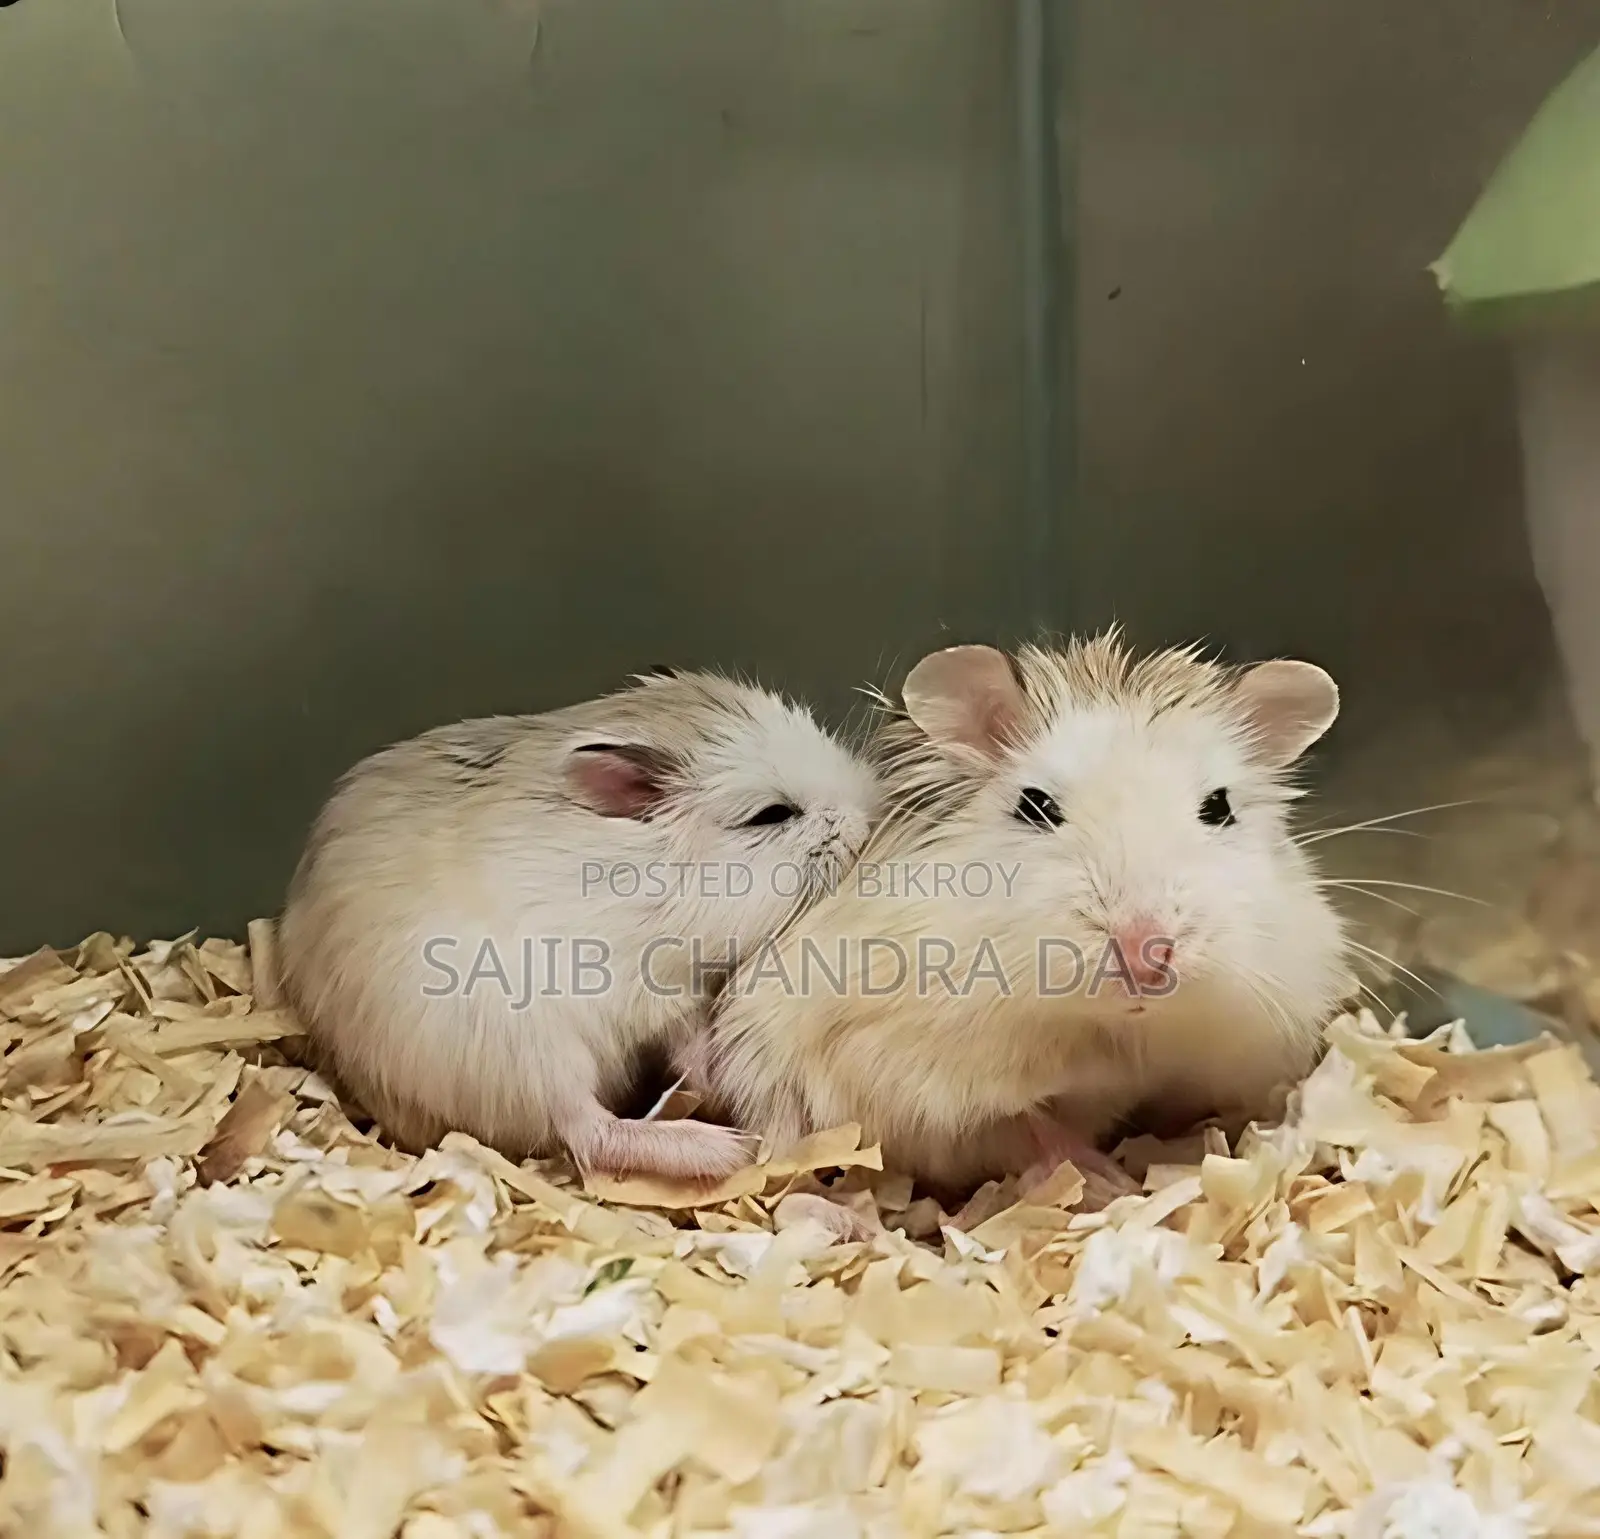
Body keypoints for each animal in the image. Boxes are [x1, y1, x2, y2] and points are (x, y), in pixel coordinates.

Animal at [277, 667, 881, 1180]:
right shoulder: (651, 988)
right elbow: (682, 1033)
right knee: (590, 1132)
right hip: (530, 1052)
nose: (866, 820)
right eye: (773, 814)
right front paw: (713, 1081)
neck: (646, 877)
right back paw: (728, 1149)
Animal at [701, 631, 1351, 1196]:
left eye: (1218, 808)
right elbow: (1022, 1121)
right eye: (1035, 806)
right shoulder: (896, 1072)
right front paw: (1103, 1180)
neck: (1115, 1031)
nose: (1146, 955)